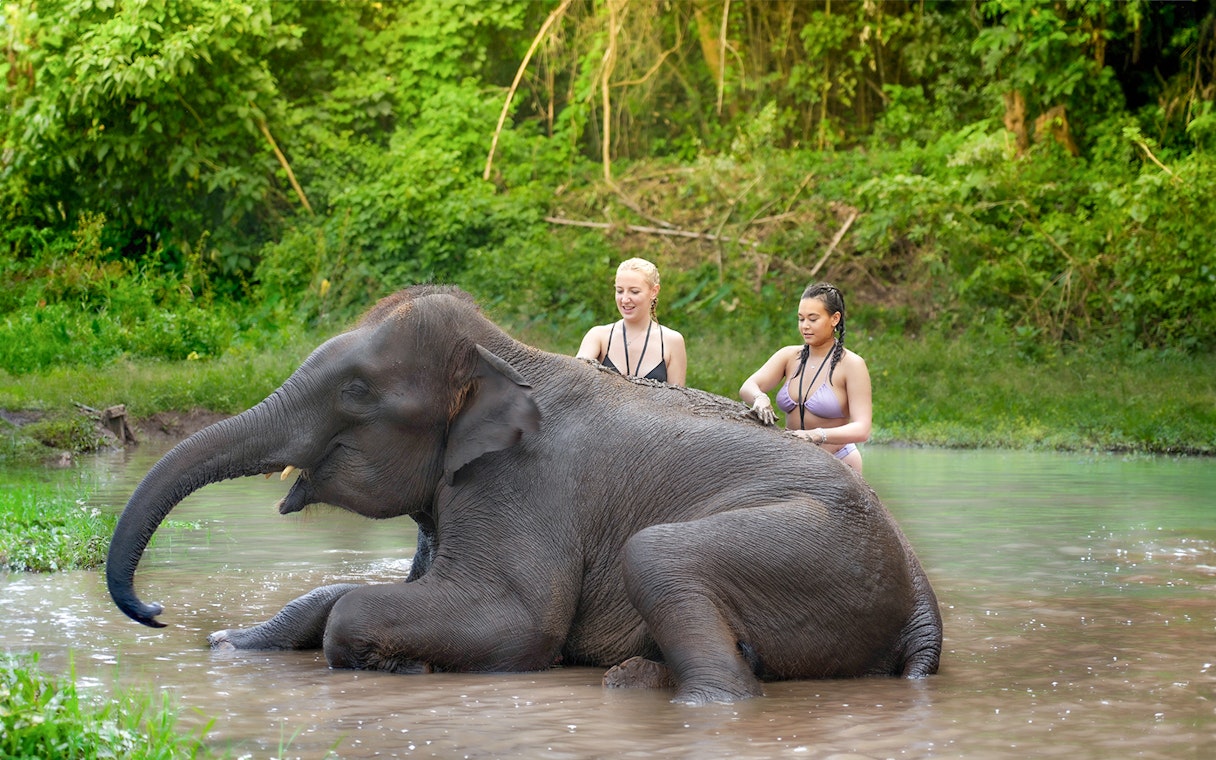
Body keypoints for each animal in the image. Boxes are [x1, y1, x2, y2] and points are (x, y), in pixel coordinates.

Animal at [107, 284, 942, 705]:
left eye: (357, 391)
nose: (156, 612)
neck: (504, 351)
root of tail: (922, 607)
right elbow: (345, 593)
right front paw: (232, 644)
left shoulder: (523, 484)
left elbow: (513, 623)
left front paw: (402, 668)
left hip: (820, 551)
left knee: (663, 565)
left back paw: (648, 689)